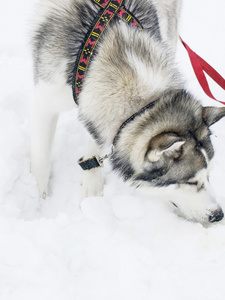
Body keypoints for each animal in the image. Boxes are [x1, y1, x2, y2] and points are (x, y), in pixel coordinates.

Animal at [30, 0, 225, 223]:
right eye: (190, 181)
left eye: (209, 174)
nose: (218, 214)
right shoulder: (45, 98)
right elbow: (41, 159)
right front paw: (37, 199)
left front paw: (91, 187)